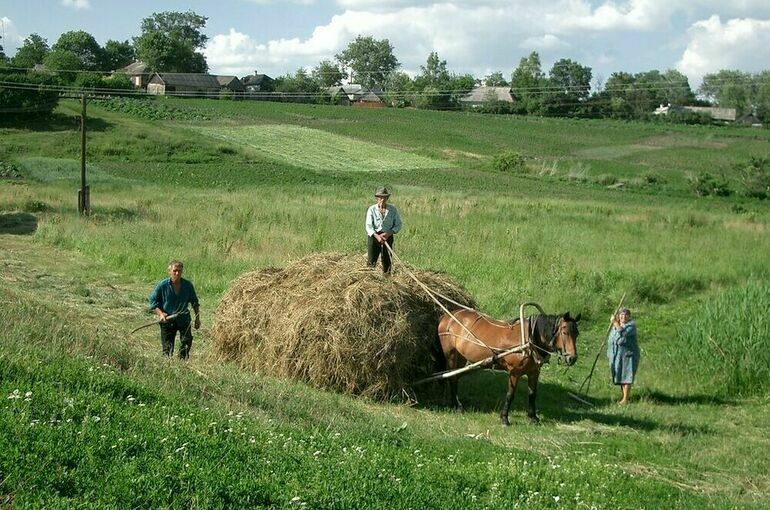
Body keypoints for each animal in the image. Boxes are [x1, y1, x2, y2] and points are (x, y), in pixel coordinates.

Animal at [436, 308, 580, 424]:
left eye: (577, 334)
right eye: (565, 332)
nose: (572, 358)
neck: (528, 340)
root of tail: (447, 316)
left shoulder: (534, 372)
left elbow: (532, 394)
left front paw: (533, 417)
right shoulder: (514, 372)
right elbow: (510, 395)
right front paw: (504, 418)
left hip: (461, 357)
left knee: (455, 377)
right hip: (451, 355)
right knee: (451, 378)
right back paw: (456, 405)